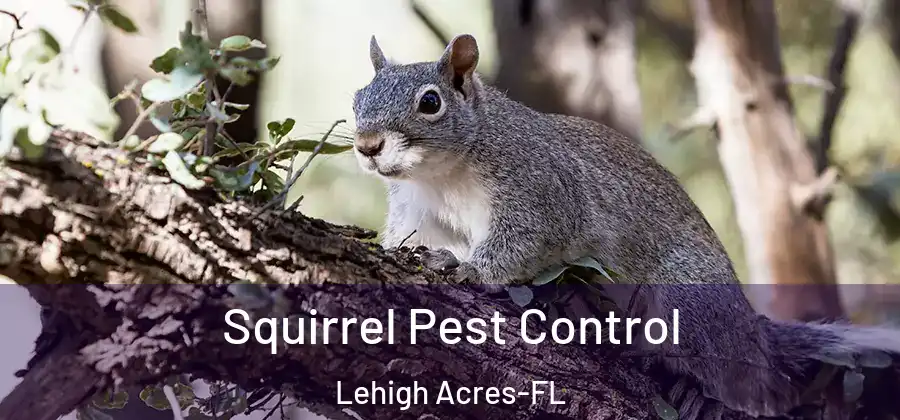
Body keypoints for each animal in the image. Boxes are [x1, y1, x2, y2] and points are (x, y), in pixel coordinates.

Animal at [351, 34, 900, 418]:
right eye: (358, 97)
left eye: (430, 103)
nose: (367, 145)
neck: (442, 173)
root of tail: (750, 331)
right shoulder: (418, 211)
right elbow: (410, 238)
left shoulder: (543, 191)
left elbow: (523, 242)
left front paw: (468, 269)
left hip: (688, 300)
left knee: (745, 382)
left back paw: (701, 392)